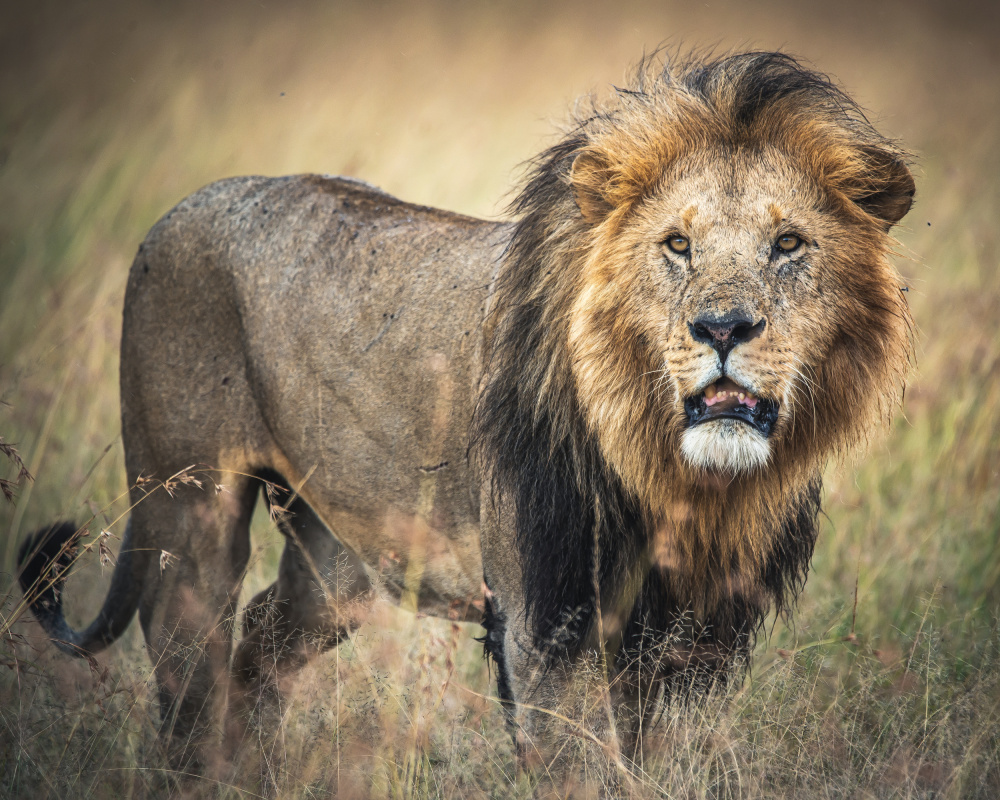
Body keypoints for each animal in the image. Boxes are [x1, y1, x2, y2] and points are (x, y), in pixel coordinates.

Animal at [18, 51, 913, 776]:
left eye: (789, 245)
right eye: (676, 245)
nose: (723, 328)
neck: (681, 480)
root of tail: (186, 204)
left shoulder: (681, 638)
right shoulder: (550, 626)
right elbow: (588, 769)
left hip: (338, 553)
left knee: (264, 641)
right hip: (187, 509)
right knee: (187, 673)